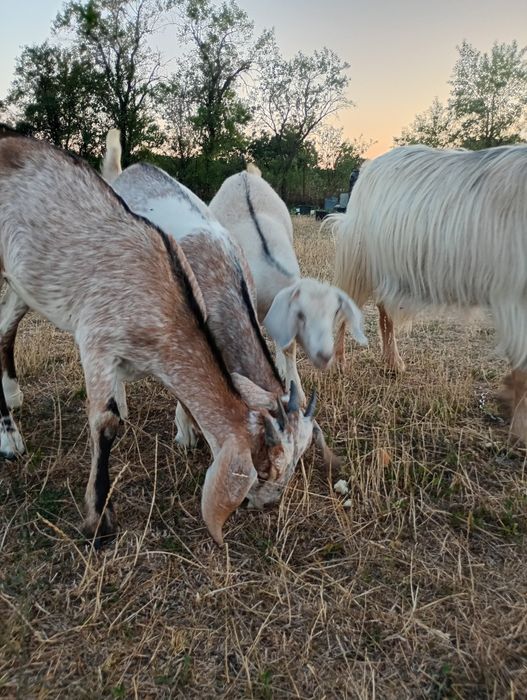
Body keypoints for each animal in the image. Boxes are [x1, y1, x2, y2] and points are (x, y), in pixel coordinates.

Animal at [0, 127, 313, 546]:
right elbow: (106, 422)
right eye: (262, 470)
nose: (264, 504)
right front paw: (100, 521)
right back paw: (11, 435)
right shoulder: (99, 338)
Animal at [209, 164, 367, 407]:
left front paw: (295, 389)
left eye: (334, 313)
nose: (325, 355)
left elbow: (287, 346)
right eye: (301, 315)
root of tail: (246, 174)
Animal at [332, 143, 527, 442]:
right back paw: (340, 363)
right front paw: (521, 428)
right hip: (360, 260)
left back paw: (393, 363)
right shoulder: (514, 296)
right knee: (347, 305)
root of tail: (369, 167)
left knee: (385, 310)